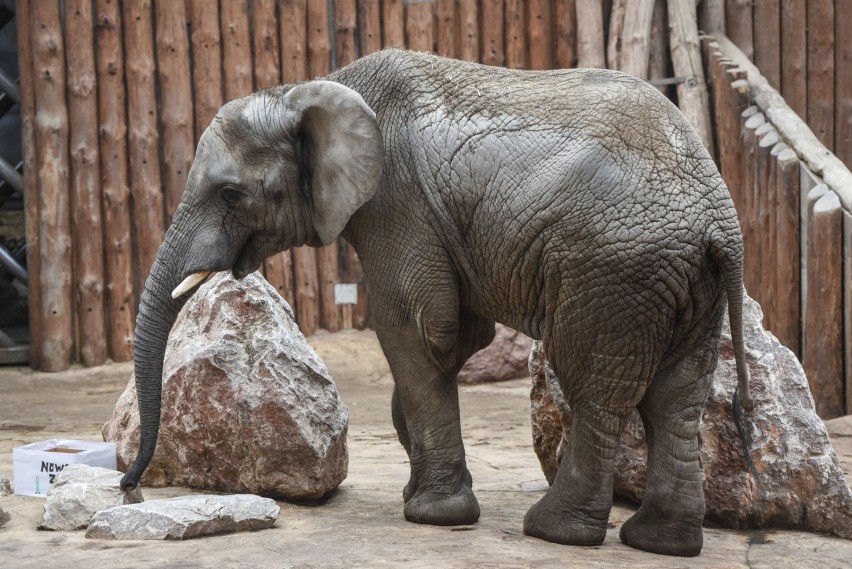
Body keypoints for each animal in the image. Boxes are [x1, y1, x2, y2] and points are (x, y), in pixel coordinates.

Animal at [120, 48, 752, 556]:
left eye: (230, 194)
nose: (131, 489)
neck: (311, 89)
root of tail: (718, 216)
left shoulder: (396, 204)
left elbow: (419, 329)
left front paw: (432, 514)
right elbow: (458, 336)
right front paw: (419, 484)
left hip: (614, 270)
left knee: (595, 387)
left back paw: (553, 531)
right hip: (682, 282)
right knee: (677, 396)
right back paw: (662, 543)